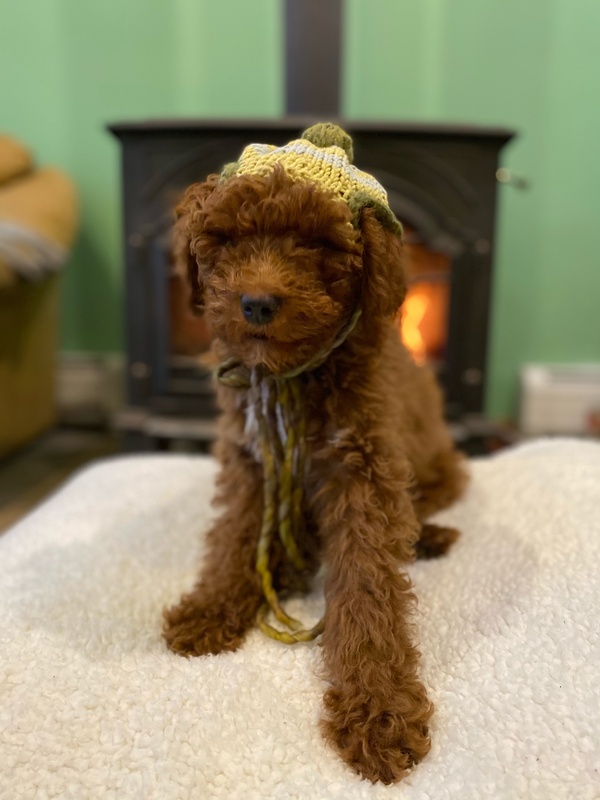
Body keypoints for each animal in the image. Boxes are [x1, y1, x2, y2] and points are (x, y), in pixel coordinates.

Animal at [164, 161, 468, 780]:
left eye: (317, 244)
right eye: (224, 239)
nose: (257, 302)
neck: (294, 376)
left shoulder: (364, 469)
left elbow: (367, 584)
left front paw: (379, 709)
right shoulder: (251, 457)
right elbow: (235, 533)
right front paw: (211, 607)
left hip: (433, 473)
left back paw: (427, 537)